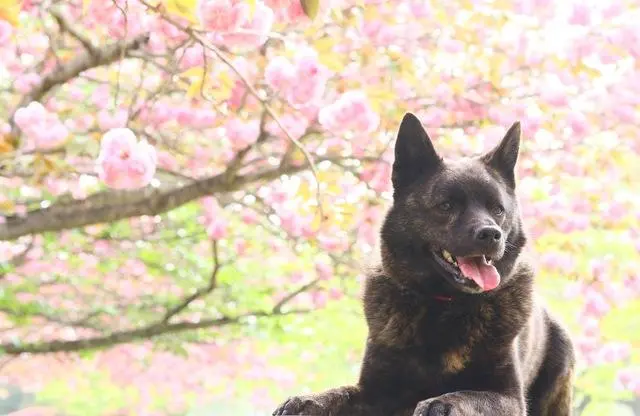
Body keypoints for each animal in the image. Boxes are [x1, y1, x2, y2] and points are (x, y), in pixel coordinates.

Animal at [274, 112, 576, 414]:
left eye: (498, 209)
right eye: (446, 206)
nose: (491, 234)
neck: (444, 303)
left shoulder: (508, 397)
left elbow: (468, 395)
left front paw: (441, 401)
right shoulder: (374, 391)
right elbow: (340, 393)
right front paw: (309, 400)